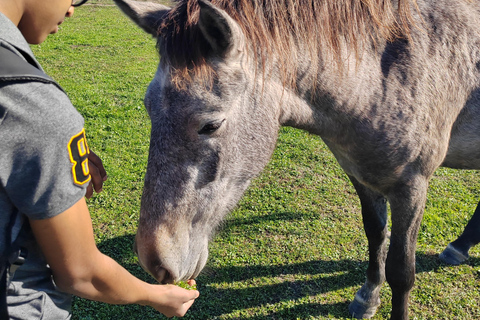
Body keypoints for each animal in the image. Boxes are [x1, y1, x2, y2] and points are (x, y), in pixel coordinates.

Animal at [113, 0, 480, 320]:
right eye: (148, 107)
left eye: (211, 124)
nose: (153, 260)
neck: (384, 76)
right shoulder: (361, 175)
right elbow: (376, 236)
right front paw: (367, 297)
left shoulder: (411, 186)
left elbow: (402, 271)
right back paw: (460, 246)